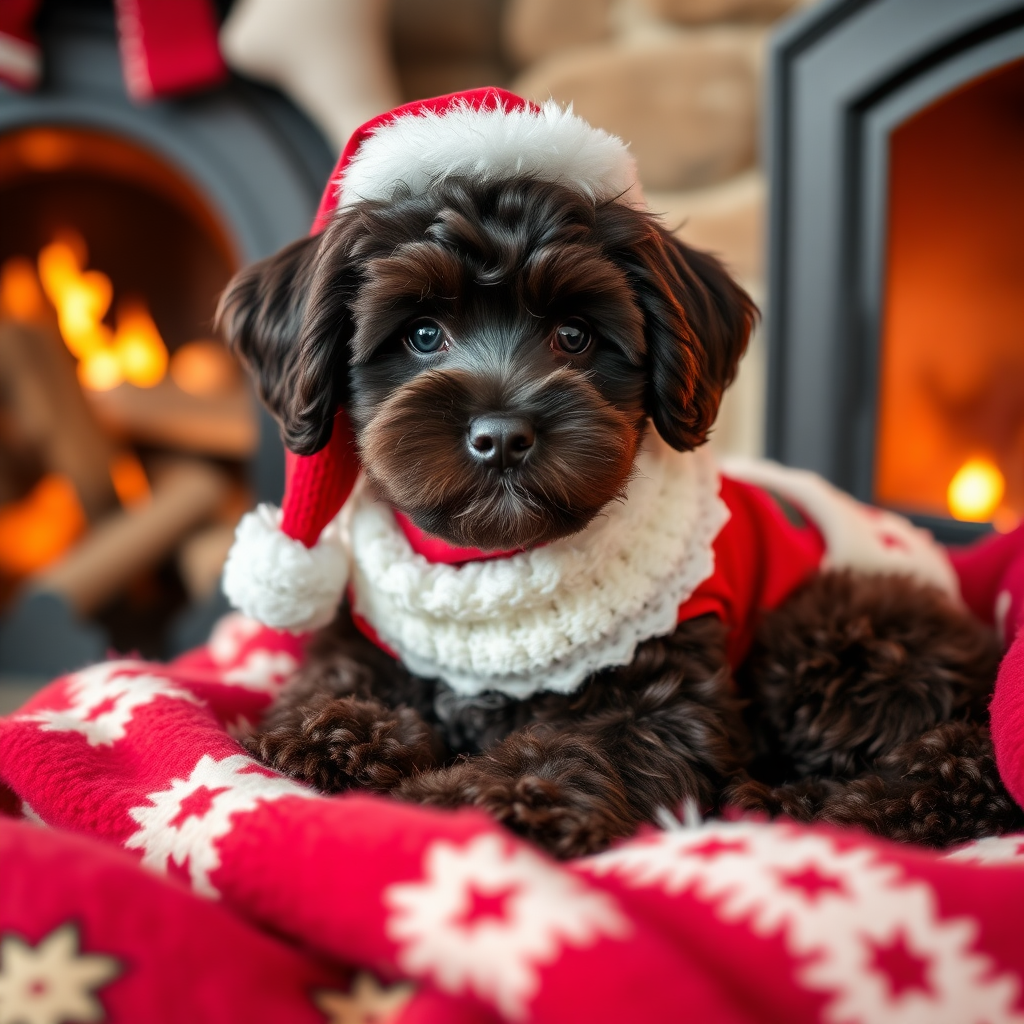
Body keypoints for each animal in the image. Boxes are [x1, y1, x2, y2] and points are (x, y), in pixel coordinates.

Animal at [214, 88, 1015, 860]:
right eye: (421, 334)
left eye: (575, 334)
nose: (501, 437)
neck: (493, 568)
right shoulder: (362, 637)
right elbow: (324, 685)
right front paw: (334, 735)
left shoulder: (663, 701)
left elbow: (567, 751)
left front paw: (461, 800)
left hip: (833, 625)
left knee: (952, 767)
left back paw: (799, 804)